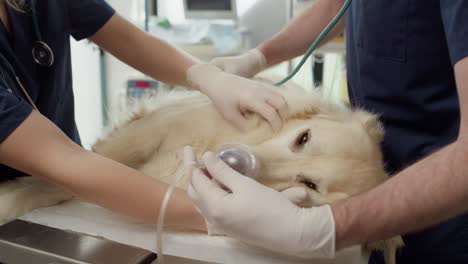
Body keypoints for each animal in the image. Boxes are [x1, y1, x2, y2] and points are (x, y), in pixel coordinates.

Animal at [0, 78, 402, 262]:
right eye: (303, 138)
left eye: (309, 186)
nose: (230, 158)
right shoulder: (148, 132)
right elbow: (73, 167)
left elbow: (71, 178)